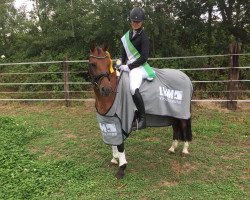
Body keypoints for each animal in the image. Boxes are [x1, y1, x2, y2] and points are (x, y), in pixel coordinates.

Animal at [89, 44, 192, 179]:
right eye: (93, 64)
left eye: (107, 64)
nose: (106, 89)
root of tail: (185, 77)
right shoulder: (109, 119)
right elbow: (113, 141)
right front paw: (114, 159)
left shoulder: (121, 119)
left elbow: (120, 145)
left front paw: (122, 168)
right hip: (173, 113)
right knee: (175, 127)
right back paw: (172, 148)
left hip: (182, 114)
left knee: (184, 127)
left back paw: (185, 150)